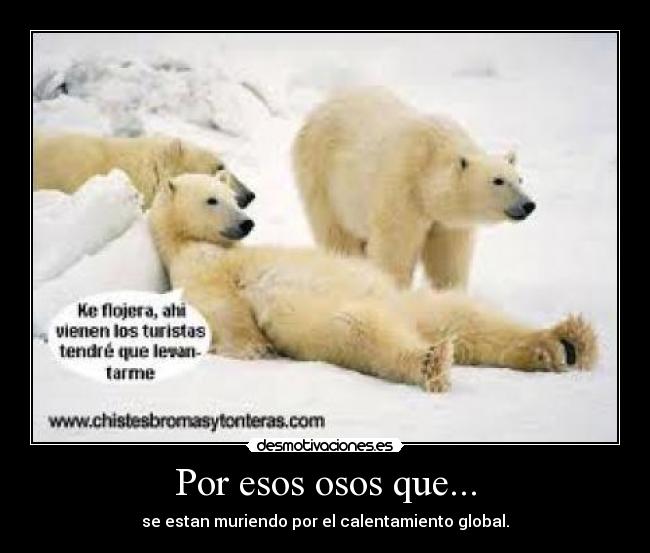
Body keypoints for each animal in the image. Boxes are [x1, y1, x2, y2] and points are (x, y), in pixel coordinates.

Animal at [148, 173, 597, 393]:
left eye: (233, 198)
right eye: (212, 200)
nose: (246, 223)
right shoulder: (196, 268)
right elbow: (220, 306)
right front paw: (255, 347)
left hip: (411, 302)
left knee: (466, 317)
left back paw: (567, 341)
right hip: (339, 319)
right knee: (361, 330)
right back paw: (432, 361)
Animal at [292, 86, 536, 290]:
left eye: (520, 179)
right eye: (498, 180)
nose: (528, 204)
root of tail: (320, 107)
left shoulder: (446, 223)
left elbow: (448, 257)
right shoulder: (403, 189)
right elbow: (395, 250)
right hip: (322, 177)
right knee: (337, 235)